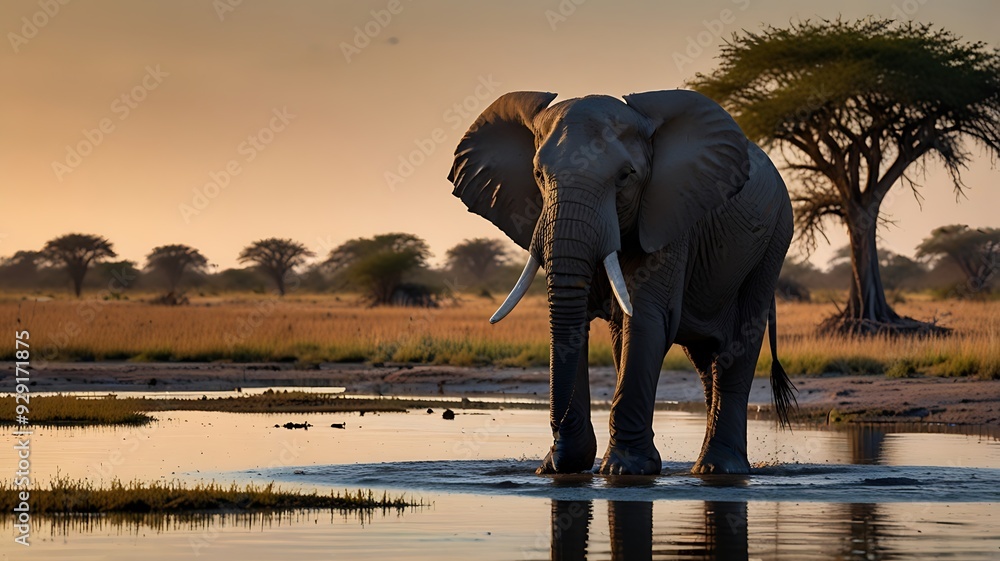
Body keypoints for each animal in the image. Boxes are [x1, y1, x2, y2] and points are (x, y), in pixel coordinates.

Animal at [447, 89, 796, 475]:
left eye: (625, 176)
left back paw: (718, 469)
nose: (552, 447)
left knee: (739, 345)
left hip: (774, 239)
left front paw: (623, 470)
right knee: (706, 360)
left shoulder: (669, 216)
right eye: (538, 174)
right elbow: (578, 322)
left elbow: (645, 319)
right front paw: (562, 467)